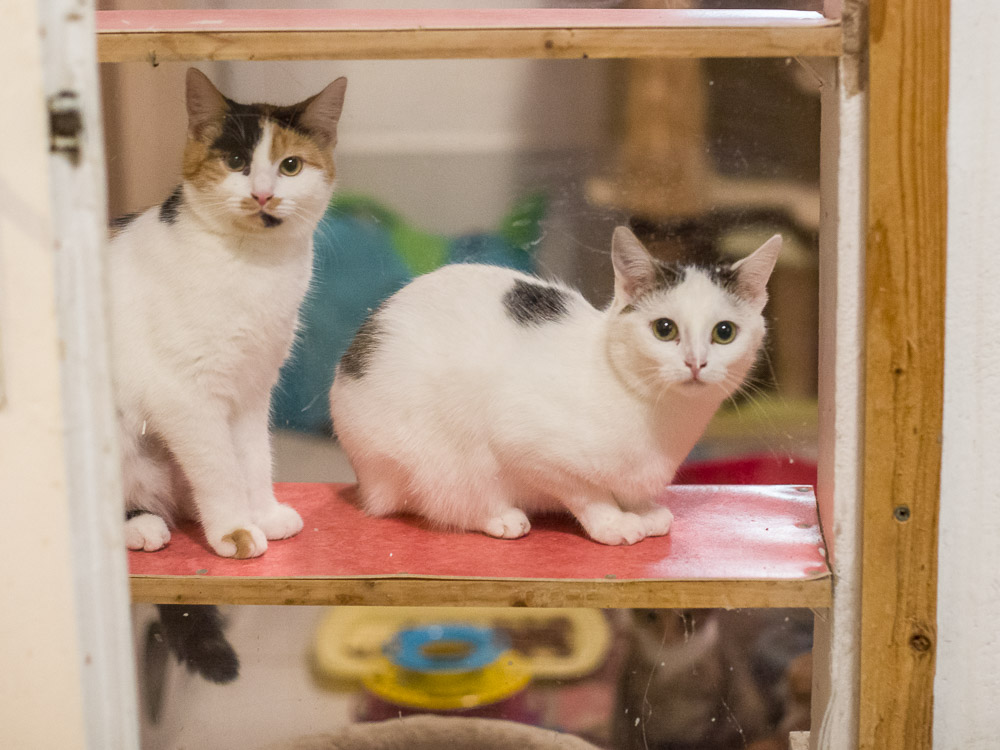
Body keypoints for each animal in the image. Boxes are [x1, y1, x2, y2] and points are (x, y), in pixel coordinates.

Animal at [111, 69, 348, 560]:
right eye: (237, 161)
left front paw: (265, 514)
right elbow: (219, 468)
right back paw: (140, 526)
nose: (262, 194)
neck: (254, 266)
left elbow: (254, 458)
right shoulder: (185, 394)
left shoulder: (252, 388)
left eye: (291, 165)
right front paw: (235, 531)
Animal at [330, 225, 780, 548]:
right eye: (664, 329)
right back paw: (499, 517)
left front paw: (642, 510)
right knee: (445, 501)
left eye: (724, 332)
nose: (696, 363)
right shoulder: (527, 443)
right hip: (436, 457)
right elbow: (584, 491)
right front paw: (612, 522)